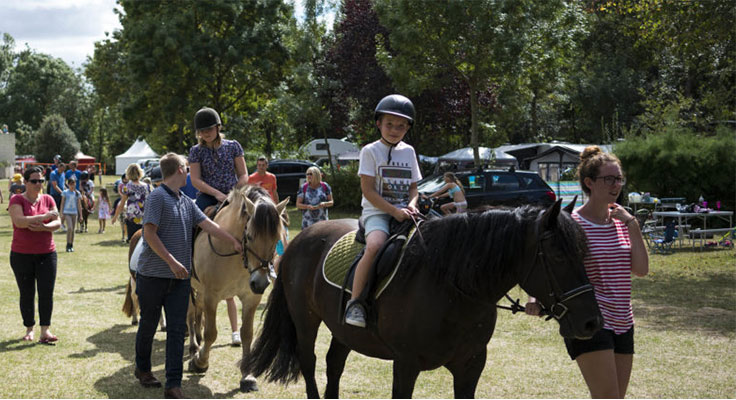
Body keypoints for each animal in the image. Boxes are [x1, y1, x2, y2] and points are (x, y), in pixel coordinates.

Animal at [244, 200, 600, 396]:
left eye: (584, 253)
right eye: (558, 256)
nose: (591, 323)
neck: (451, 288)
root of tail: (301, 238)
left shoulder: (471, 366)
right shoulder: (406, 364)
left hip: (342, 329)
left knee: (334, 363)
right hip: (305, 321)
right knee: (310, 361)